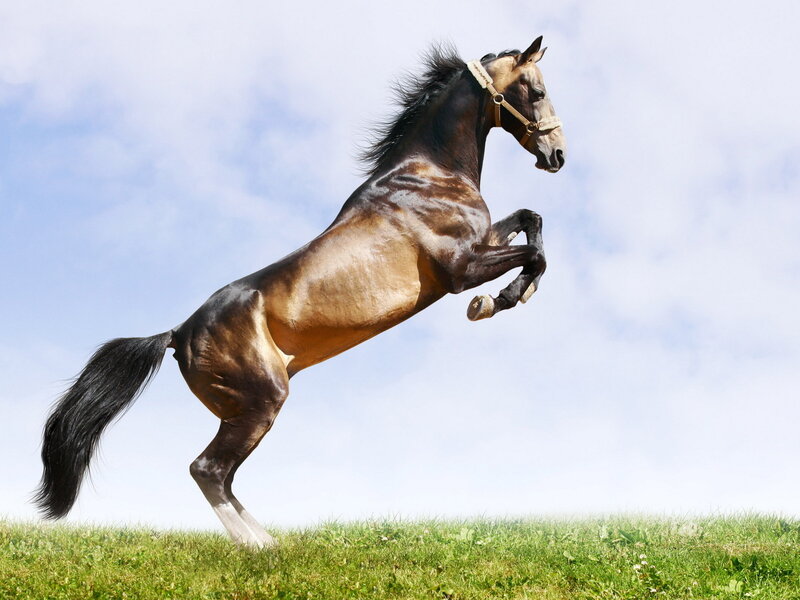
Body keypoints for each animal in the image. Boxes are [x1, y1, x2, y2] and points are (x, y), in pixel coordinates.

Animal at [35, 36, 566, 548]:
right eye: (537, 91)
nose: (557, 155)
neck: (429, 174)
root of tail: (177, 333)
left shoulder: (483, 242)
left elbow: (532, 220)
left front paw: (511, 294)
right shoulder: (460, 269)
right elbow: (534, 255)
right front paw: (496, 302)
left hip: (241, 411)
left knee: (223, 475)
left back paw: (271, 540)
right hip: (261, 401)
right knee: (208, 470)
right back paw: (256, 546)